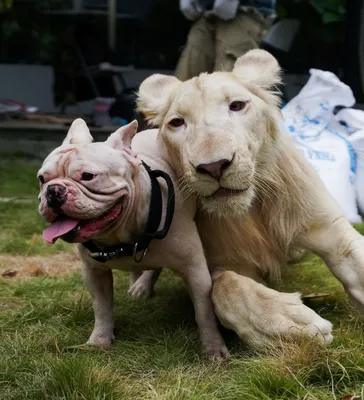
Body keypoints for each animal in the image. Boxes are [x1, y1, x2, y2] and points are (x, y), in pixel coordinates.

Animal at [135, 50, 364, 348]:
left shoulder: (331, 231)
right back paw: (140, 288)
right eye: (177, 123)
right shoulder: (224, 261)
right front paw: (294, 325)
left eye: (236, 105)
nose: (213, 166)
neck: (254, 208)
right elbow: (225, 287)